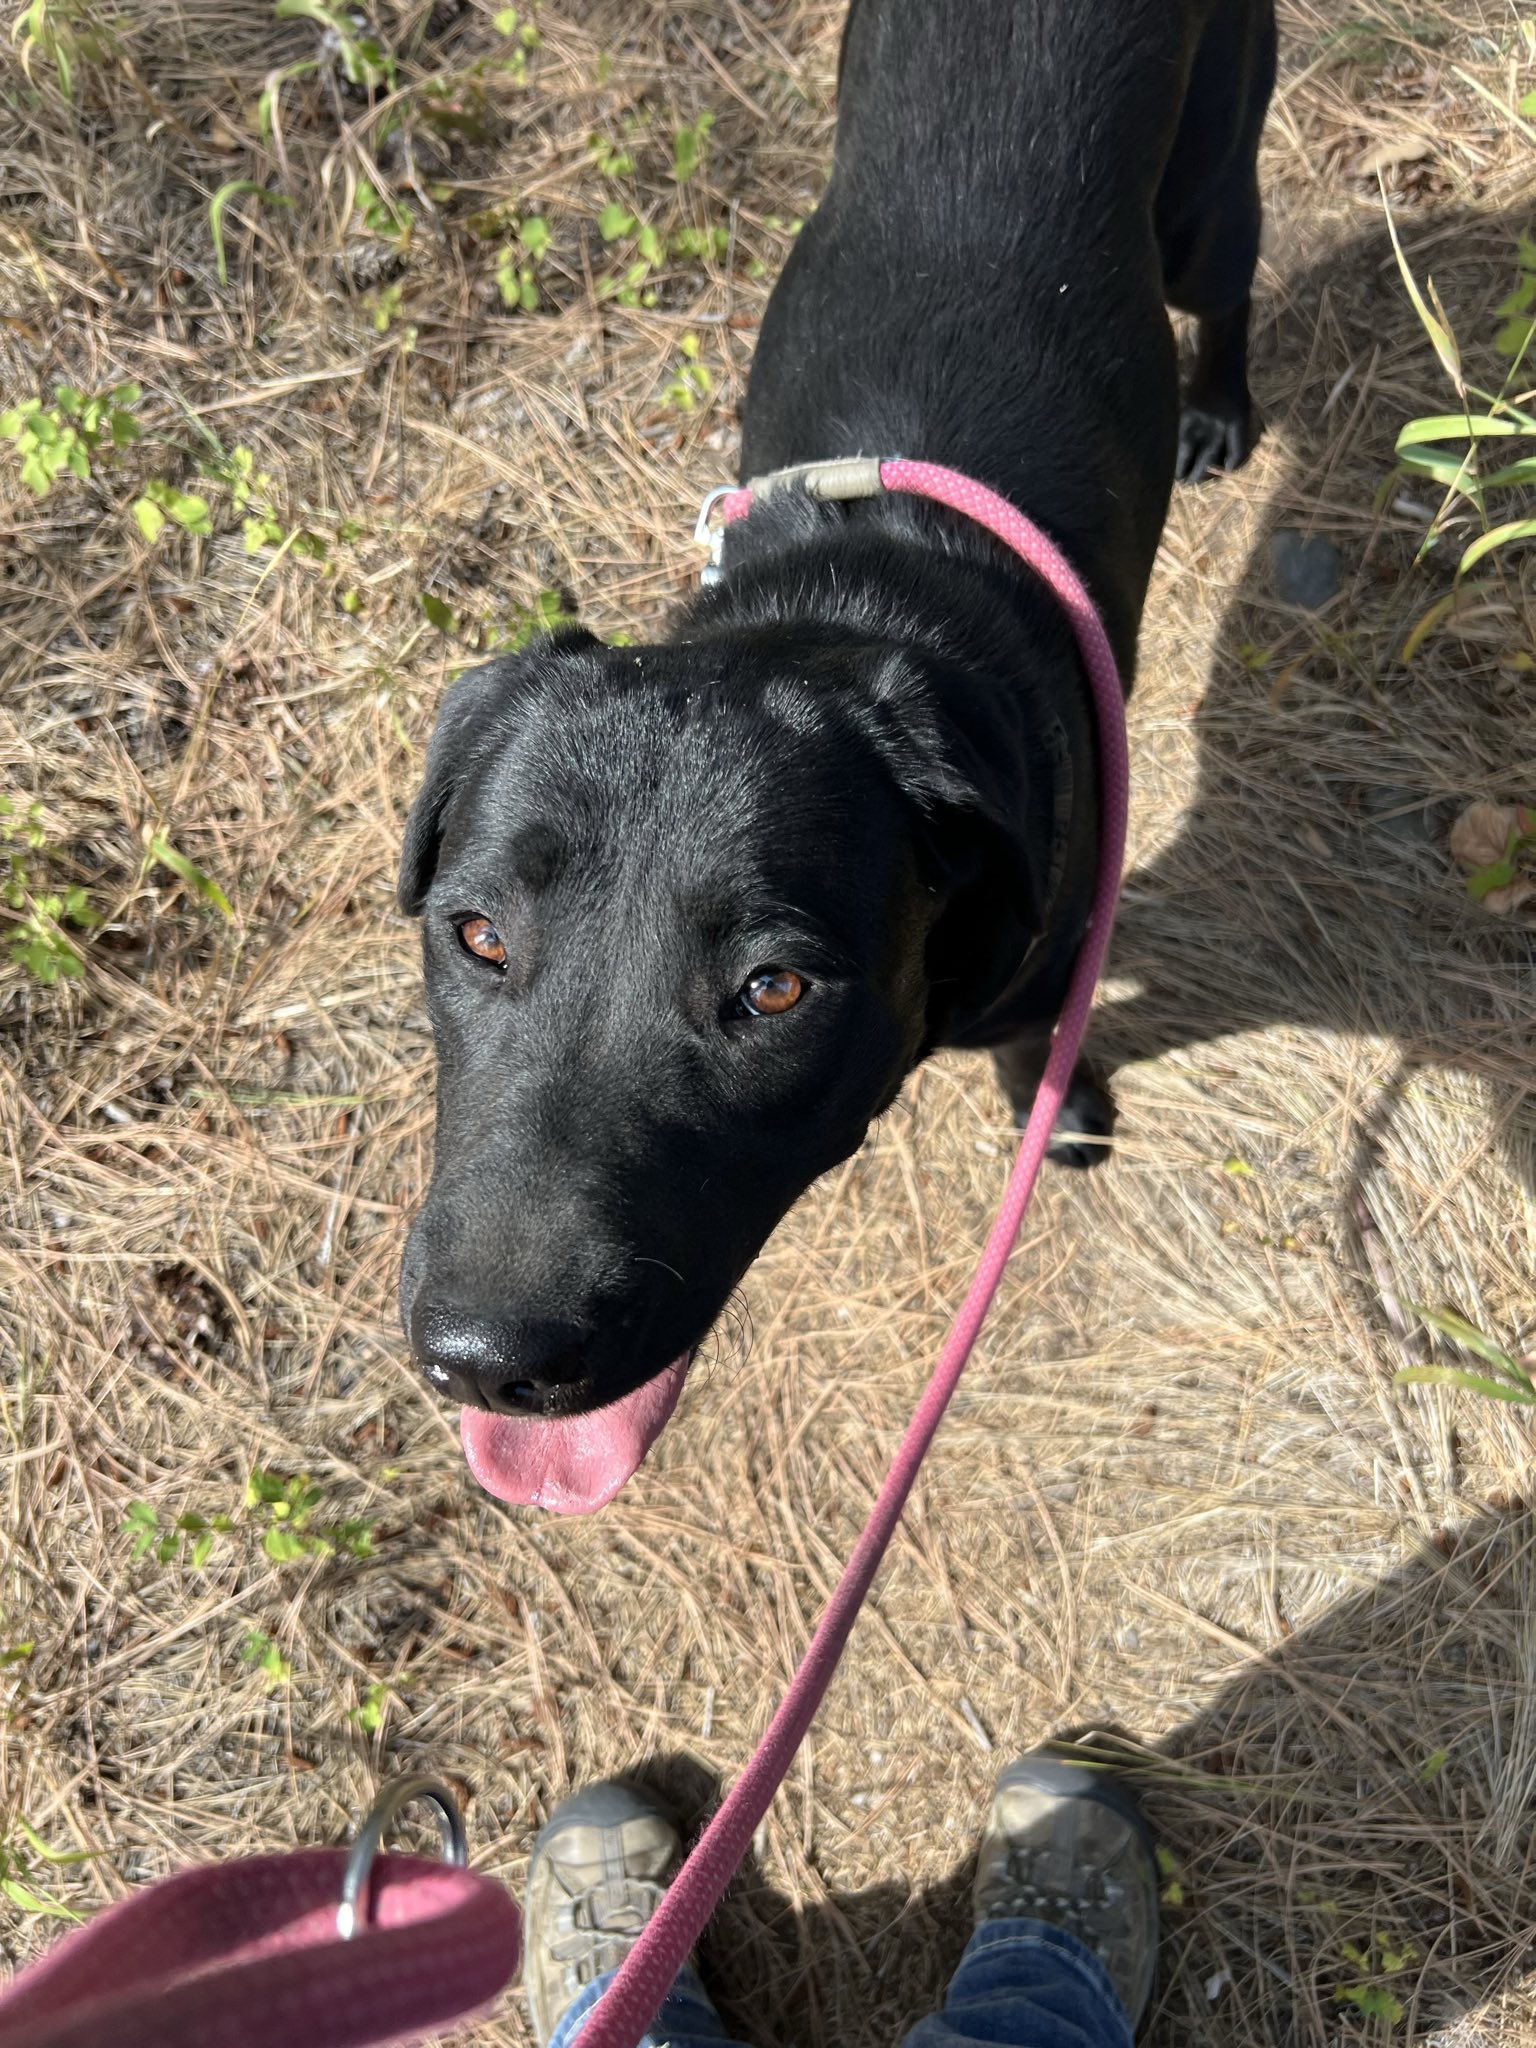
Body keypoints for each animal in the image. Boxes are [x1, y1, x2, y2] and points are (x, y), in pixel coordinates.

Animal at [397, 0, 1277, 1507]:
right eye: (478, 936)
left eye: (776, 987)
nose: (484, 1360)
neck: (846, 603)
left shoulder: (1050, 944)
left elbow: (1040, 1047)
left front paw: (1065, 1110)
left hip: (1207, 188)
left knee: (1229, 270)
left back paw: (1220, 408)